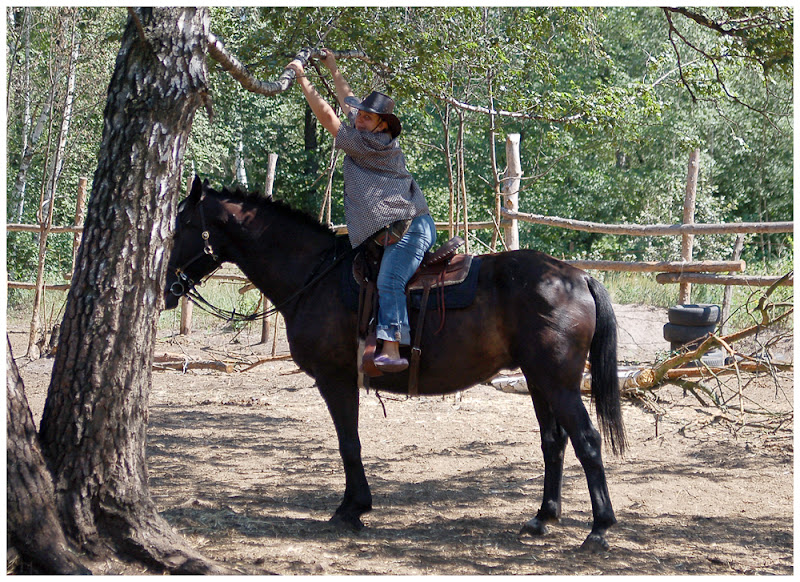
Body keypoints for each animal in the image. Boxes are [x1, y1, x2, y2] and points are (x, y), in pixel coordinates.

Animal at [163, 177, 627, 552]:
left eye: (181, 226)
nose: (167, 287)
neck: (314, 276)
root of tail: (578, 277)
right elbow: (349, 442)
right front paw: (353, 505)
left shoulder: (335, 378)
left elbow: (348, 442)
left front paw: (352, 509)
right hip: (537, 379)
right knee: (554, 442)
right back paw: (543, 517)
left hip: (559, 382)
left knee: (587, 440)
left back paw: (599, 529)